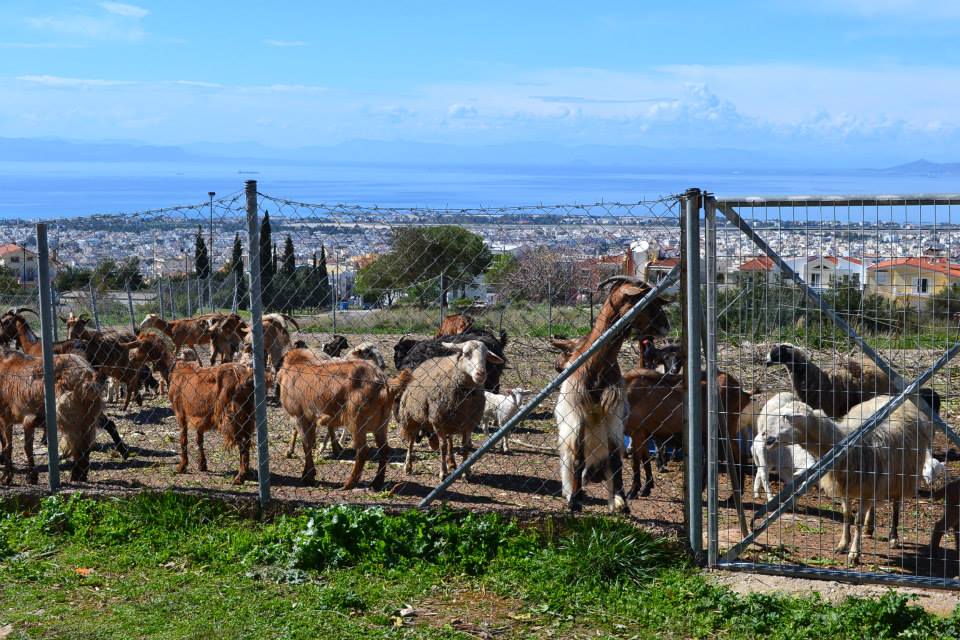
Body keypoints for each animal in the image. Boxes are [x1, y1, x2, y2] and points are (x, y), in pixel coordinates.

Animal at [167, 350, 255, 484]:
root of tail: (246, 379)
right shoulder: (200, 418)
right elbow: (199, 439)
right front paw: (202, 465)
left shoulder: (180, 413)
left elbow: (183, 439)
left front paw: (182, 466)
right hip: (247, 415)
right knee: (247, 441)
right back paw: (245, 472)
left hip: (232, 416)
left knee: (243, 443)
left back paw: (240, 476)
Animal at [278, 348, 412, 488]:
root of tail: (383, 383)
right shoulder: (310, 419)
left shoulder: (299, 416)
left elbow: (306, 445)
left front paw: (307, 476)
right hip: (382, 423)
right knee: (384, 449)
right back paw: (376, 482)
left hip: (357, 421)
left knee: (363, 451)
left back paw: (349, 483)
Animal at [398, 340, 506, 480]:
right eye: (467, 354)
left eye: (486, 356)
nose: (481, 374)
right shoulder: (437, 421)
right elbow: (443, 447)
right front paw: (443, 472)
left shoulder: (468, 424)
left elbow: (465, 446)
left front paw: (466, 471)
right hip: (412, 416)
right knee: (411, 441)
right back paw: (408, 466)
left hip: (449, 420)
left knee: (450, 440)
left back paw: (452, 462)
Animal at [552, 272, 672, 512]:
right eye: (646, 301)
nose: (666, 325)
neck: (596, 366)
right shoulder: (577, 412)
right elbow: (579, 458)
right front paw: (575, 502)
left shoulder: (613, 413)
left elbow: (616, 459)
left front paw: (621, 501)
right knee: (572, 462)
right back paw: (574, 492)